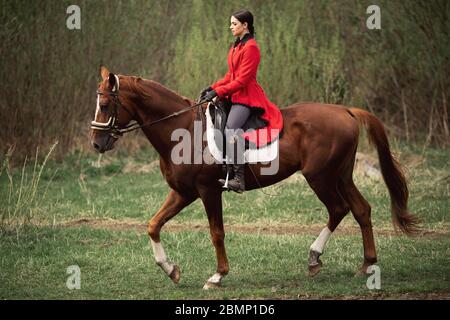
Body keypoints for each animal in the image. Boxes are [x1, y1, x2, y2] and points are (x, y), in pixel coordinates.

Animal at [90, 67, 418, 290]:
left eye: (105, 106)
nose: (96, 143)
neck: (182, 130)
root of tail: (345, 110)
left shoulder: (208, 191)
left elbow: (216, 233)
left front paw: (217, 276)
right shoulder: (182, 192)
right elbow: (153, 225)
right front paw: (170, 269)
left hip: (320, 177)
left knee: (339, 209)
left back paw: (316, 258)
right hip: (340, 176)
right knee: (361, 209)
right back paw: (365, 265)